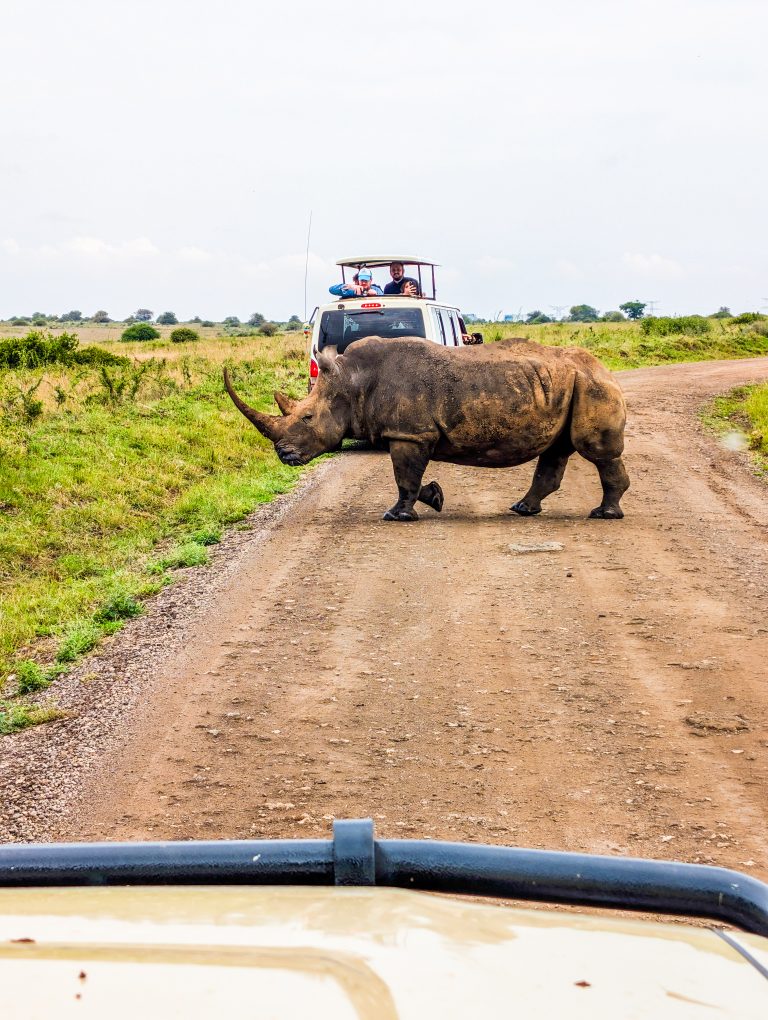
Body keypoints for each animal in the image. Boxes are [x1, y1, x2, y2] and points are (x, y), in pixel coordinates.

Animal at [223, 337, 629, 522]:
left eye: (307, 418)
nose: (284, 455)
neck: (351, 381)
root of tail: (604, 367)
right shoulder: (407, 433)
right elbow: (412, 479)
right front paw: (435, 498)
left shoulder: (410, 433)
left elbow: (404, 477)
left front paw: (395, 517)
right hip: (567, 385)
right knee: (557, 450)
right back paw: (522, 509)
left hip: (591, 385)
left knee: (594, 451)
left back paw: (603, 514)